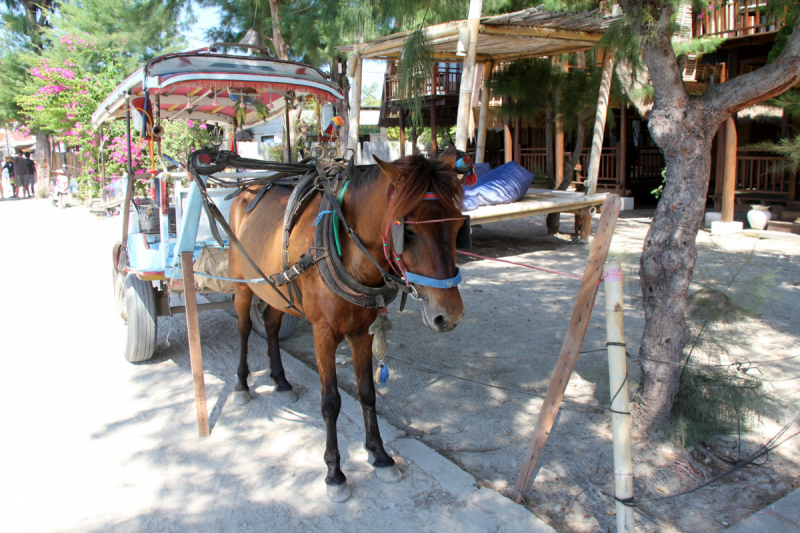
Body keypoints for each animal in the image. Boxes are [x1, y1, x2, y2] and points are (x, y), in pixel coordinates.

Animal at [228, 151, 466, 502]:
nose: (450, 315)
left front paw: (380, 456)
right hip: (243, 284)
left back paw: (281, 381)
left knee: (271, 325)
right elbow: (331, 402)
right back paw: (242, 385)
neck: (346, 253)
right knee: (244, 329)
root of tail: (250, 186)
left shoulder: (361, 333)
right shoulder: (323, 334)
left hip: (278, 291)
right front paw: (334, 472)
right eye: (407, 232)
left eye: (458, 224)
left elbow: (367, 393)